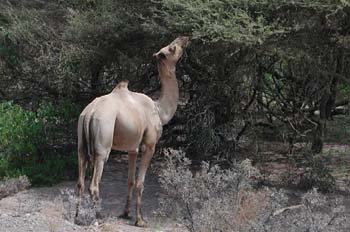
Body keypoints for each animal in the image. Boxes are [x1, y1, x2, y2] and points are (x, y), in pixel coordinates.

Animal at [75, 36, 190, 227]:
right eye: (172, 48)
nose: (185, 38)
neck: (159, 110)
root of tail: (90, 113)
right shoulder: (149, 145)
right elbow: (140, 183)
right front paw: (140, 220)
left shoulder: (132, 148)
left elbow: (130, 180)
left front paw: (126, 213)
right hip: (103, 143)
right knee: (94, 183)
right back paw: (98, 217)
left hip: (81, 144)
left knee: (80, 181)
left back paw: (77, 216)